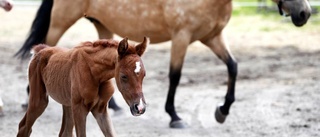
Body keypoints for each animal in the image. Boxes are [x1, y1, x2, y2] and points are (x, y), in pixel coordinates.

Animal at [16, 37, 148, 136]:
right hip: (39, 101)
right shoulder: (80, 109)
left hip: (68, 104)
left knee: (65, 132)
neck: (96, 74)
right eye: (124, 76)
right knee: (24, 127)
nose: (140, 107)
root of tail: (41, 50)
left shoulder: (100, 110)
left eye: (144, 75)